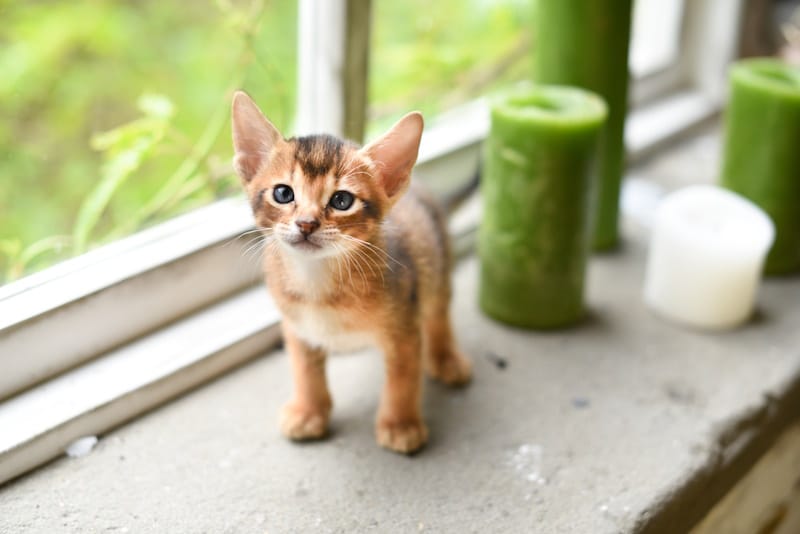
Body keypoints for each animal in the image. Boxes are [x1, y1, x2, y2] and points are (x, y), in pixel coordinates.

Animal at [230, 90, 468, 454]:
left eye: (342, 200)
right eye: (283, 193)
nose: (306, 223)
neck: (318, 286)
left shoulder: (404, 330)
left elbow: (403, 379)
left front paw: (400, 424)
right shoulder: (296, 327)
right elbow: (305, 370)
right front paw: (309, 411)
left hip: (436, 268)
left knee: (439, 312)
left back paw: (446, 357)